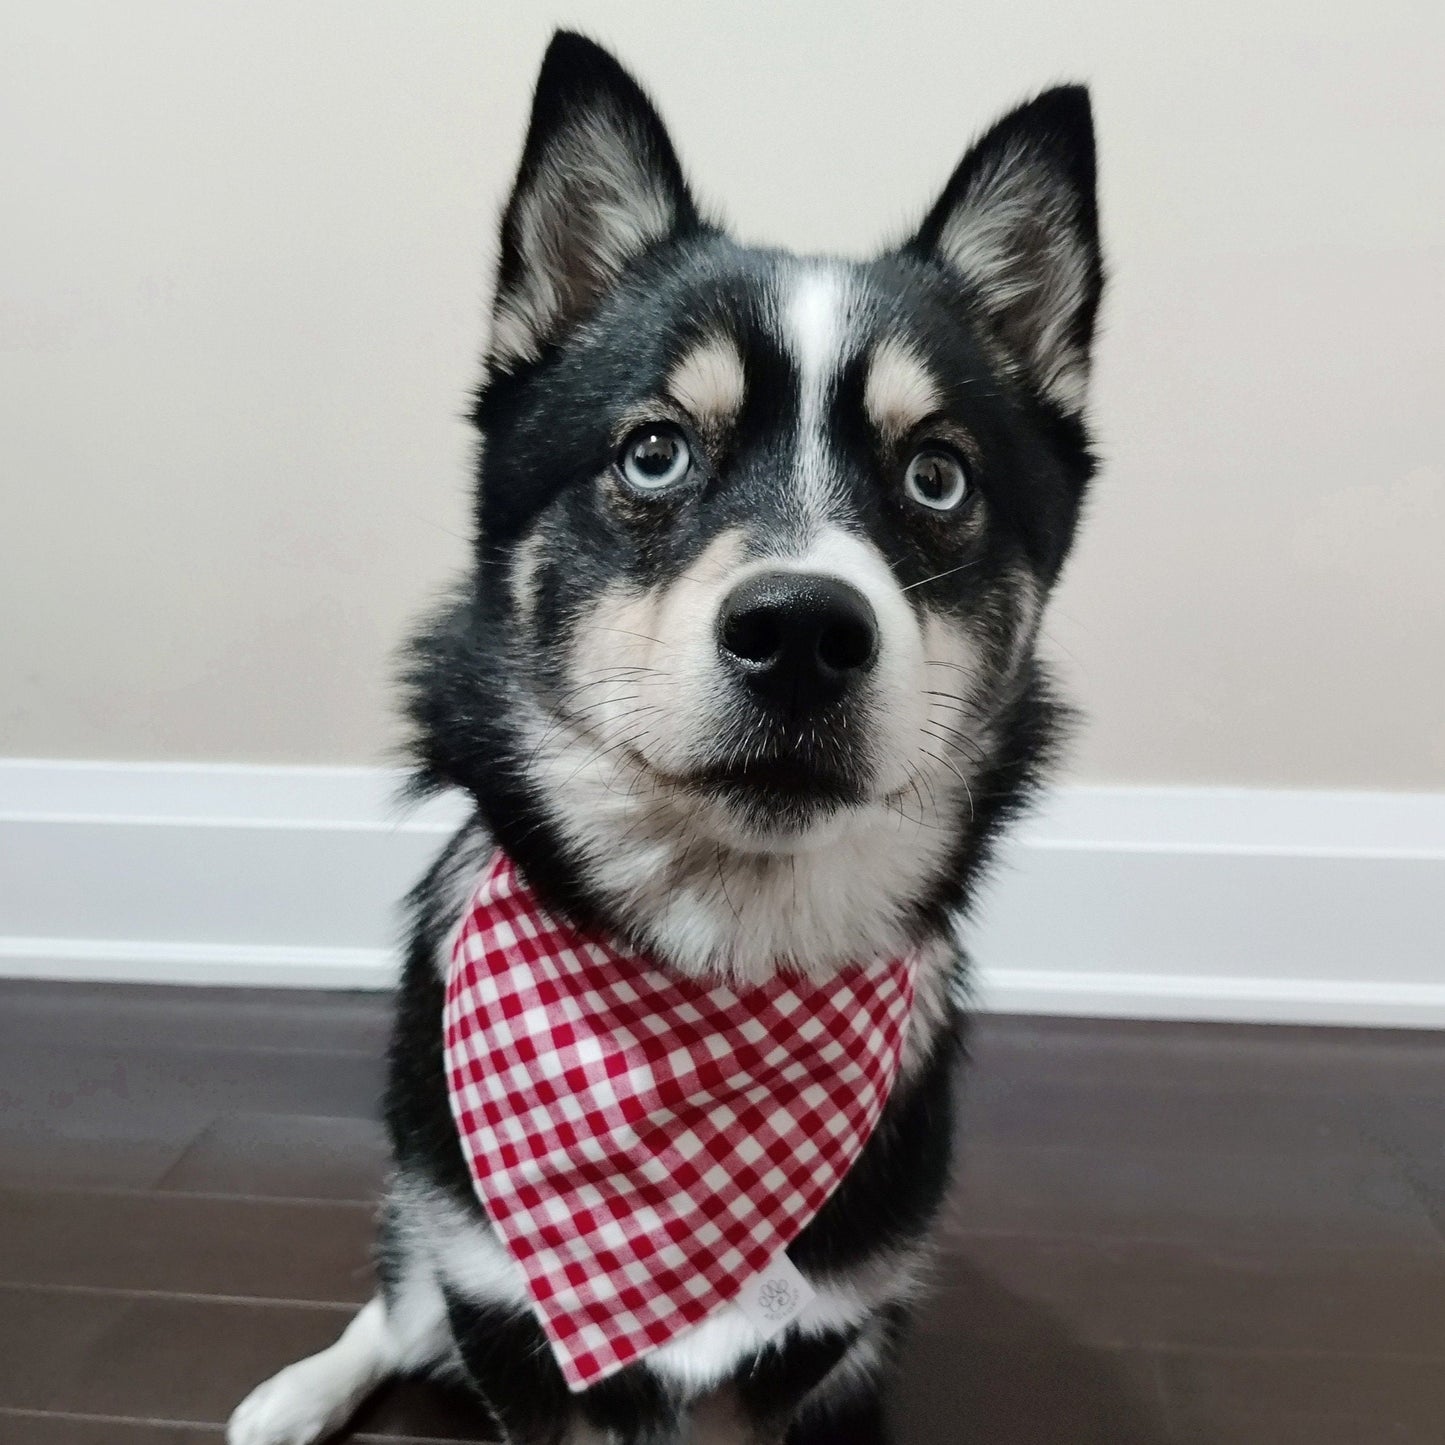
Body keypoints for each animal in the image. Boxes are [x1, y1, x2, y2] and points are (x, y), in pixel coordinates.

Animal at [231, 28, 1098, 1445]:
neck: (712, 959)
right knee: (393, 1299)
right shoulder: (503, 1305)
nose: (800, 632)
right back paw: (295, 1393)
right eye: (651, 452)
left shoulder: (813, 1331)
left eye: (937, 476)